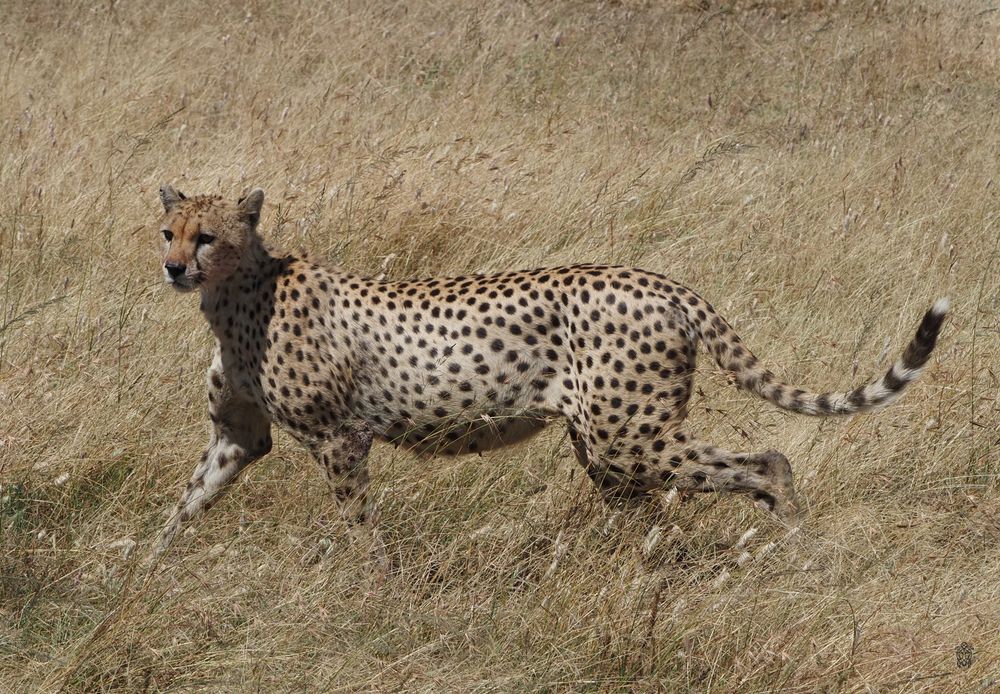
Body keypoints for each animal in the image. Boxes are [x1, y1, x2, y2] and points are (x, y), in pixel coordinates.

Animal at [152, 184, 949, 560]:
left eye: (208, 236)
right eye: (168, 232)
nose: (173, 269)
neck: (236, 293)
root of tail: (660, 281)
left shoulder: (341, 437)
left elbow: (357, 523)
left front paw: (372, 584)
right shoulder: (240, 436)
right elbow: (185, 503)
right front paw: (147, 567)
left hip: (627, 435)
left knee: (770, 462)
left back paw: (801, 550)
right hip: (608, 446)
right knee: (651, 509)